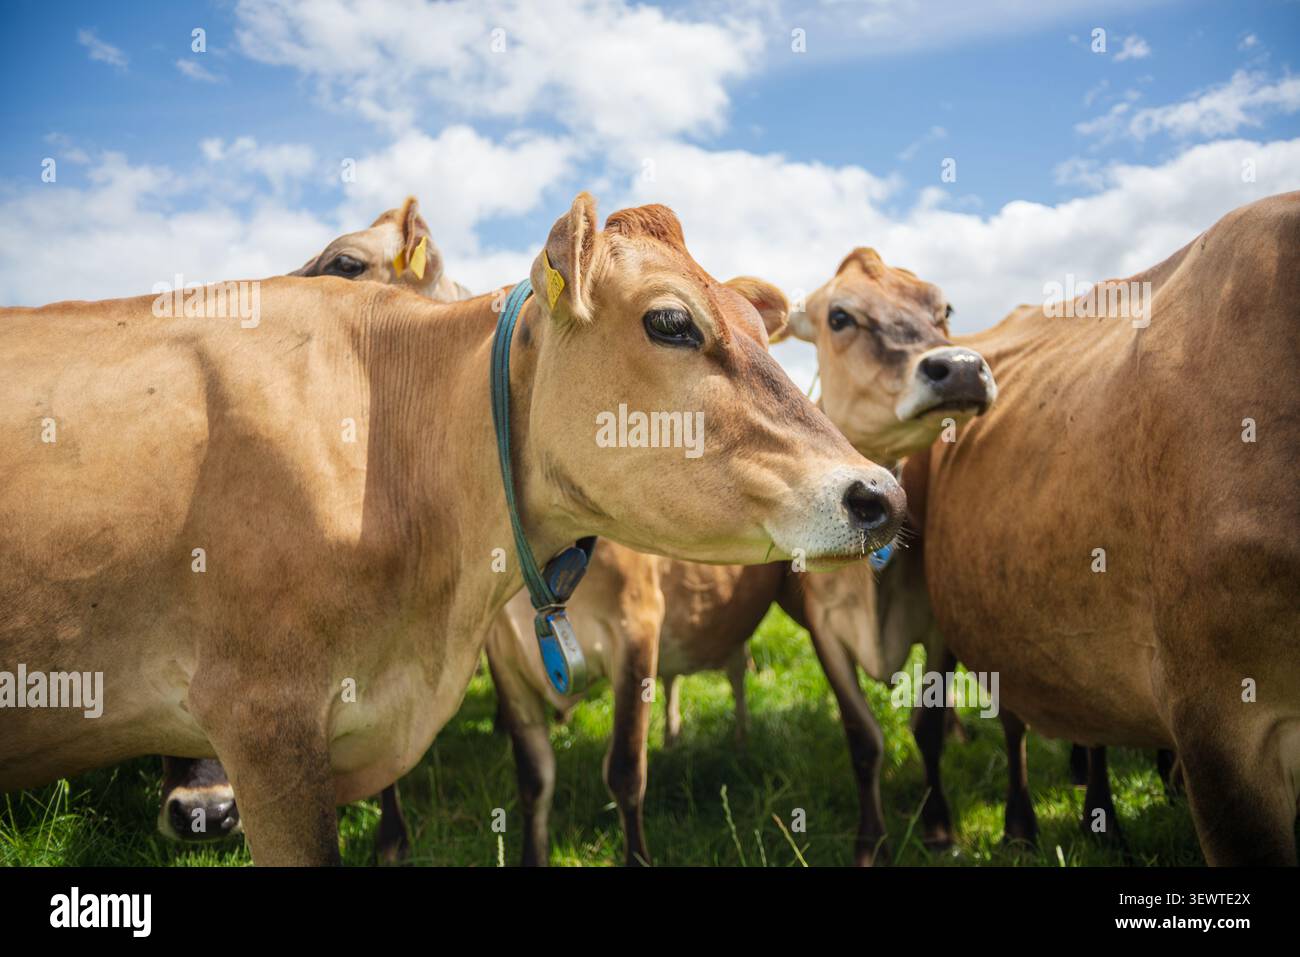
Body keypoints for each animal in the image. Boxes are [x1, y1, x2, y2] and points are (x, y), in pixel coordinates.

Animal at [0, 193, 905, 865]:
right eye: (671, 323)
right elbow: (543, 774)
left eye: (762, 329)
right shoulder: (263, 719)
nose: (880, 492)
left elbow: (618, 769)